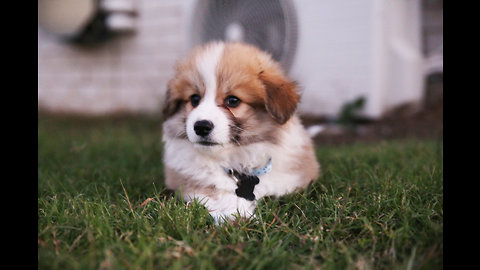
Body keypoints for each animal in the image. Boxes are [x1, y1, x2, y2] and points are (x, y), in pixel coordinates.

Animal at [161, 41, 318, 224]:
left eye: (233, 100)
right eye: (194, 99)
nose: (201, 126)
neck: (234, 160)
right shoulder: (186, 179)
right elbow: (215, 193)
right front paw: (236, 216)